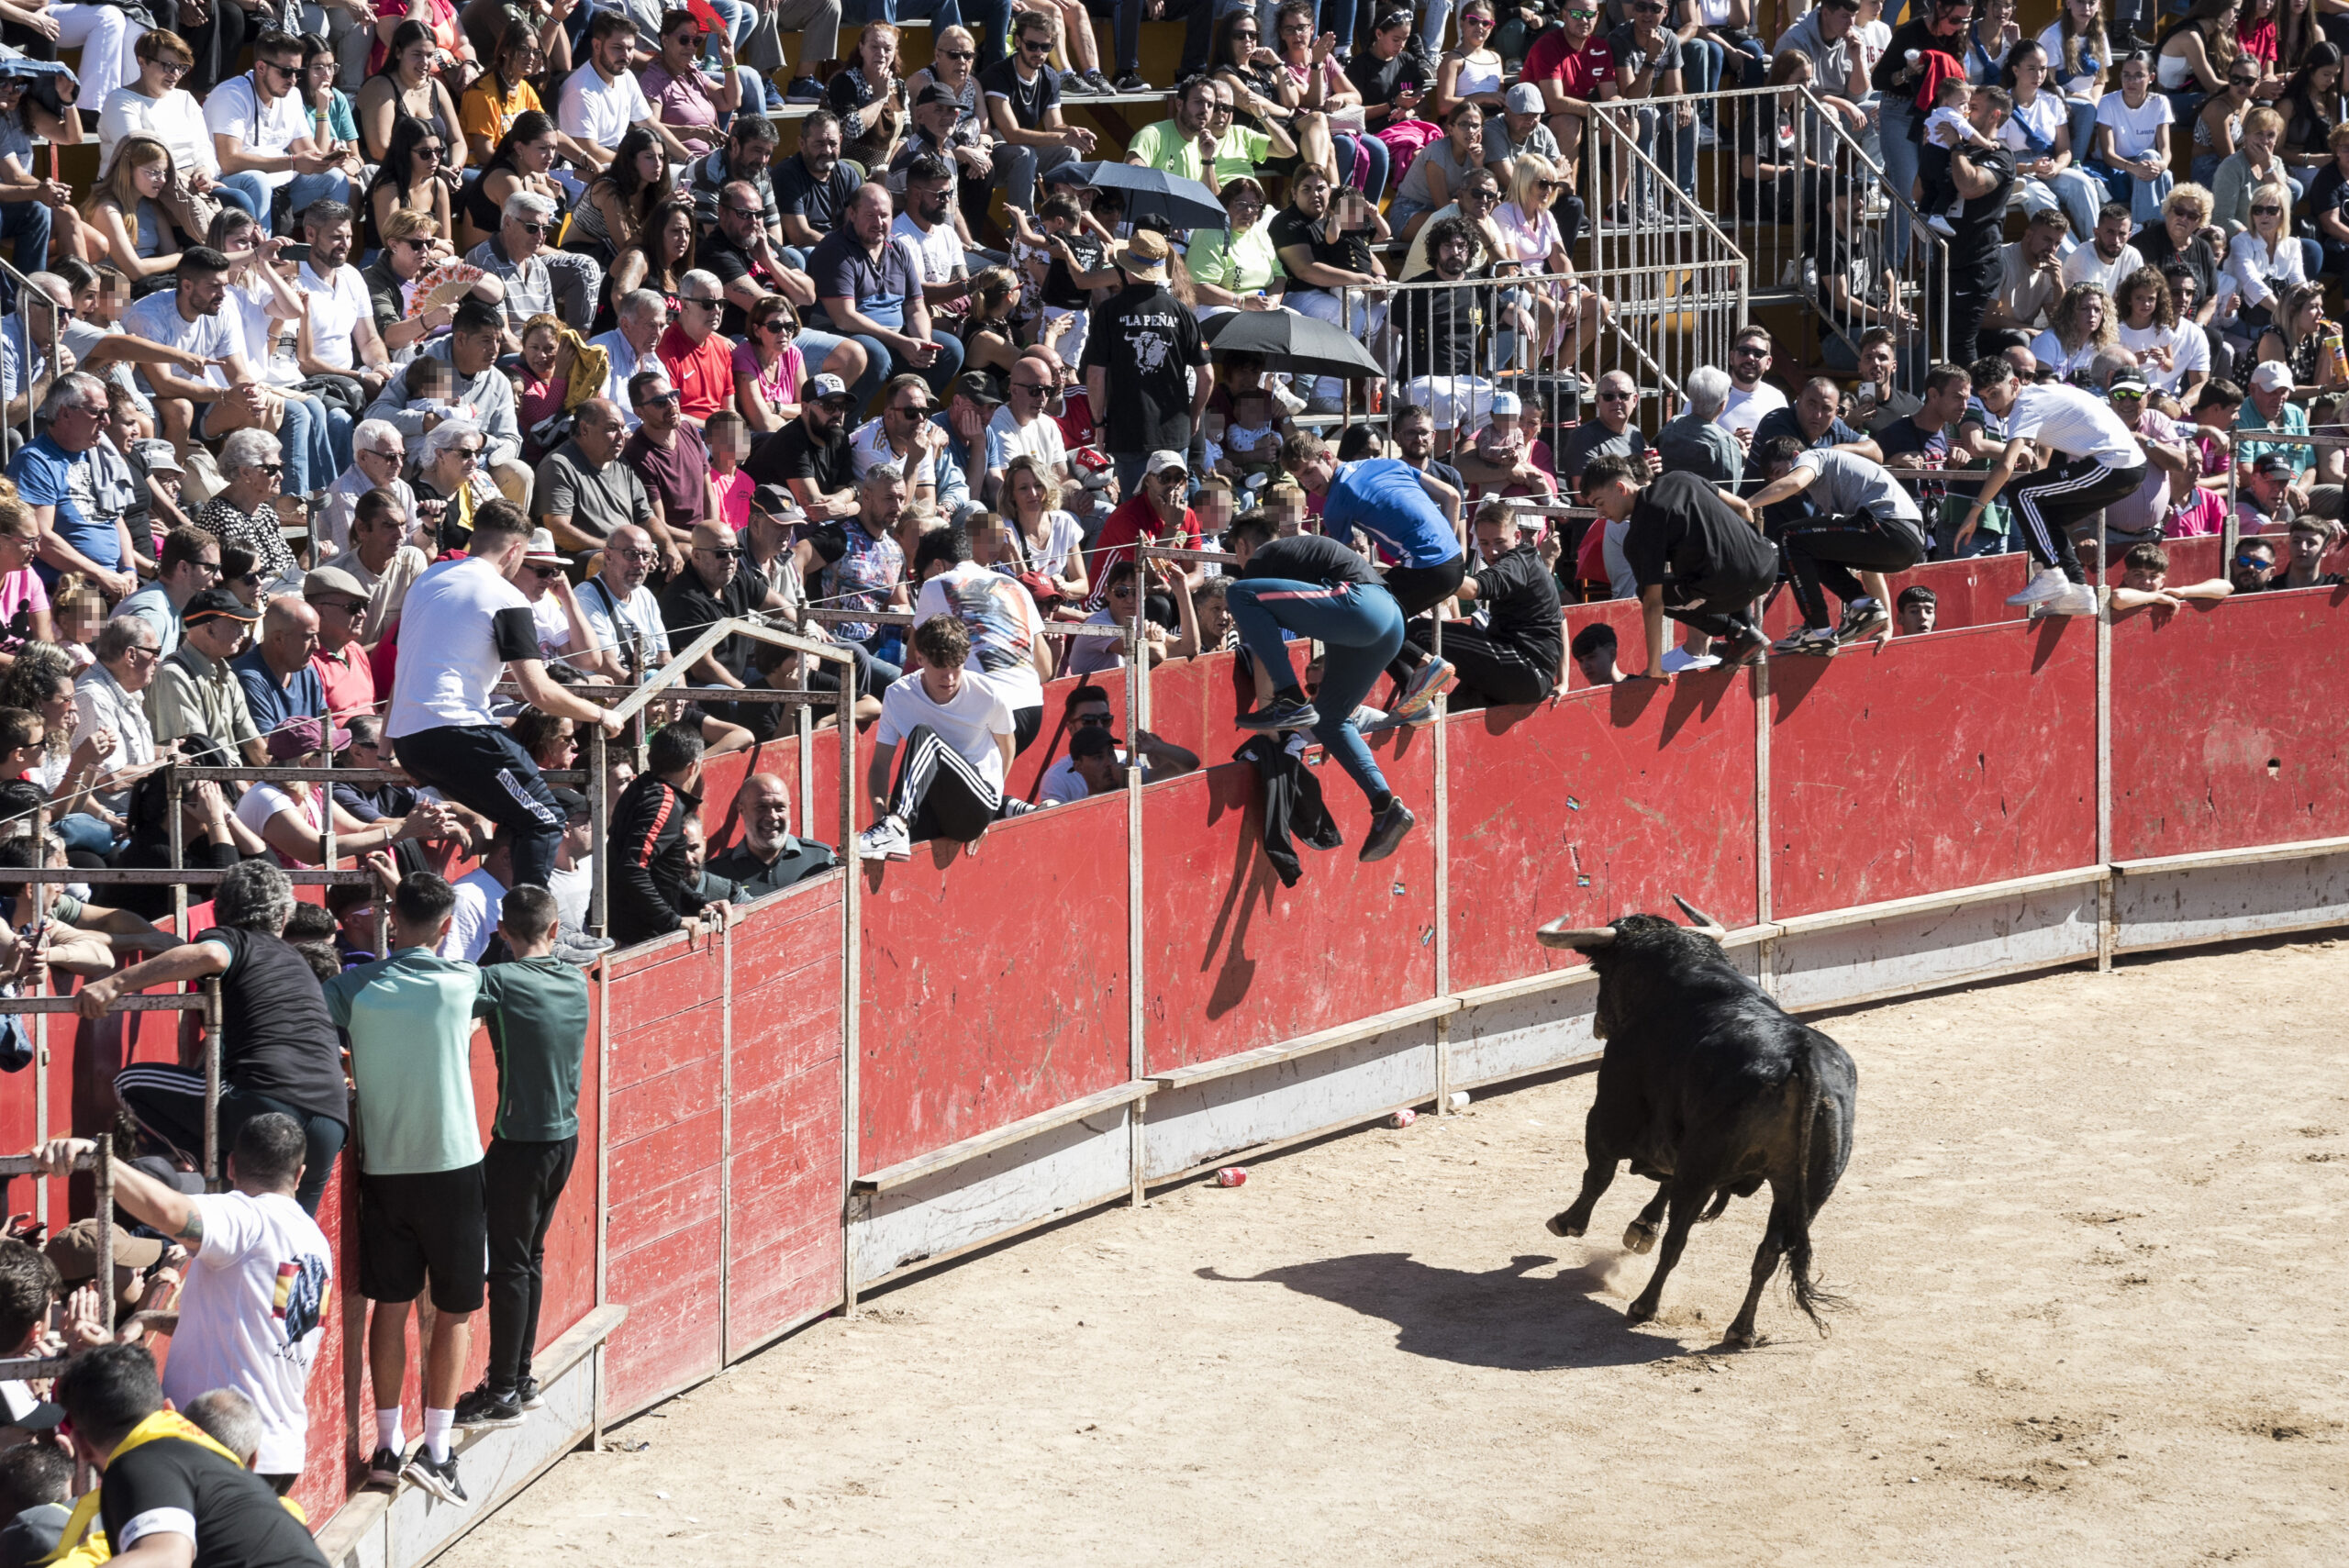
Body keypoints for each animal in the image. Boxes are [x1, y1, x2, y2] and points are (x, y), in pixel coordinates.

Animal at [1531, 906, 1860, 1351]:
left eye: (1602, 973)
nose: (1599, 1025)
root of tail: (1798, 1057)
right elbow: (1660, 1182)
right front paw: (1641, 1228)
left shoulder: (1609, 1114)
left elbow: (1599, 1174)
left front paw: (1569, 1222)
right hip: (1806, 1191)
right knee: (1768, 1253)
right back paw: (1741, 1331)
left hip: (1703, 1168)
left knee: (1678, 1239)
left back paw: (1644, 1307)